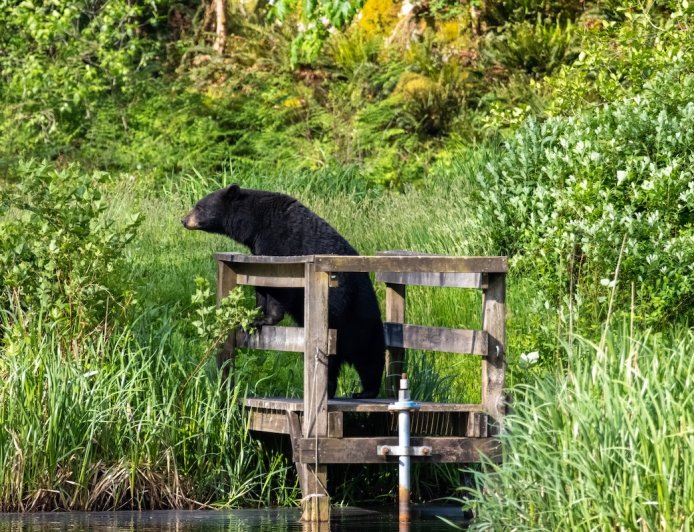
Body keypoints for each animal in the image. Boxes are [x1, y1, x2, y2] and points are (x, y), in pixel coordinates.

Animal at [182, 184, 385, 399]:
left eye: (199, 206)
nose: (184, 220)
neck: (256, 223)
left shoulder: (282, 244)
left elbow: (281, 286)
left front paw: (266, 319)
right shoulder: (258, 254)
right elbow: (261, 285)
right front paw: (255, 317)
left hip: (358, 316)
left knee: (370, 357)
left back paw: (366, 391)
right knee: (332, 367)